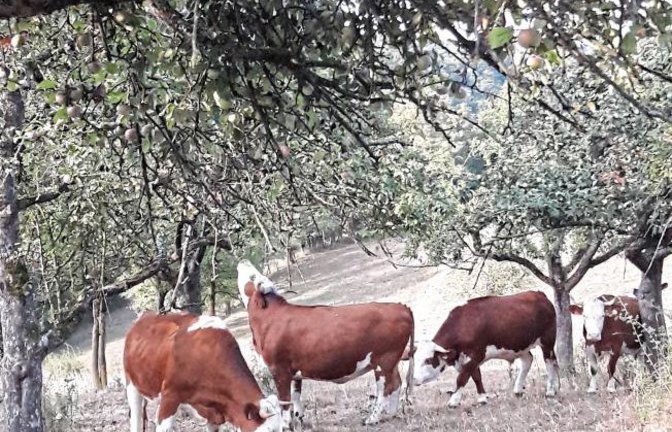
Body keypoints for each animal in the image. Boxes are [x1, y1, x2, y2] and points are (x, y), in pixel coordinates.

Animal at [236, 259, 415, 428]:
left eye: (254, 276)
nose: (244, 260)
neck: (268, 318)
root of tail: (400, 307)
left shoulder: (279, 369)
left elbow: (285, 401)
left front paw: (286, 424)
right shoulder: (293, 372)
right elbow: (295, 396)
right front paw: (300, 420)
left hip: (383, 361)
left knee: (386, 388)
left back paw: (372, 418)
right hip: (392, 362)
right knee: (397, 383)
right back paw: (391, 413)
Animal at [413, 290, 560, 408]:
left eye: (427, 360)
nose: (413, 379)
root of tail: (539, 294)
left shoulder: (475, 355)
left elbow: (462, 378)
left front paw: (453, 401)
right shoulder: (469, 359)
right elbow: (476, 376)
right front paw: (482, 398)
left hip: (547, 341)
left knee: (549, 362)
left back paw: (550, 391)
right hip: (519, 345)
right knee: (528, 360)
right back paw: (518, 390)